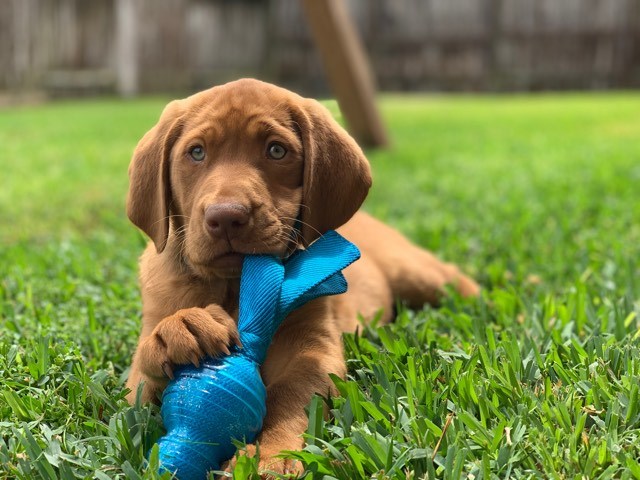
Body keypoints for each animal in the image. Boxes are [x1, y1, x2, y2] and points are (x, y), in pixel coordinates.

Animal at [125, 79, 478, 476]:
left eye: (276, 151)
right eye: (196, 153)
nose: (227, 216)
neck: (234, 286)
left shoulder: (314, 348)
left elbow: (291, 396)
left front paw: (271, 456)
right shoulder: (139, 371)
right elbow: (139, 386)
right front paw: (177, 330)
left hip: (417, 274)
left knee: (456, 279)